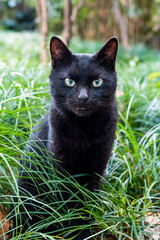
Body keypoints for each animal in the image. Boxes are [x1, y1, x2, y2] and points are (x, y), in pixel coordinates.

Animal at [16, 36, 118, 239]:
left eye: (97, 82)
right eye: (70, 81)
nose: (83, 97)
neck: (83, 130)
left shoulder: (96, 169)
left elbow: (86, 204)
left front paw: (84, 231)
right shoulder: (59, 171)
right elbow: (65, 203)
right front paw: (69, 230)